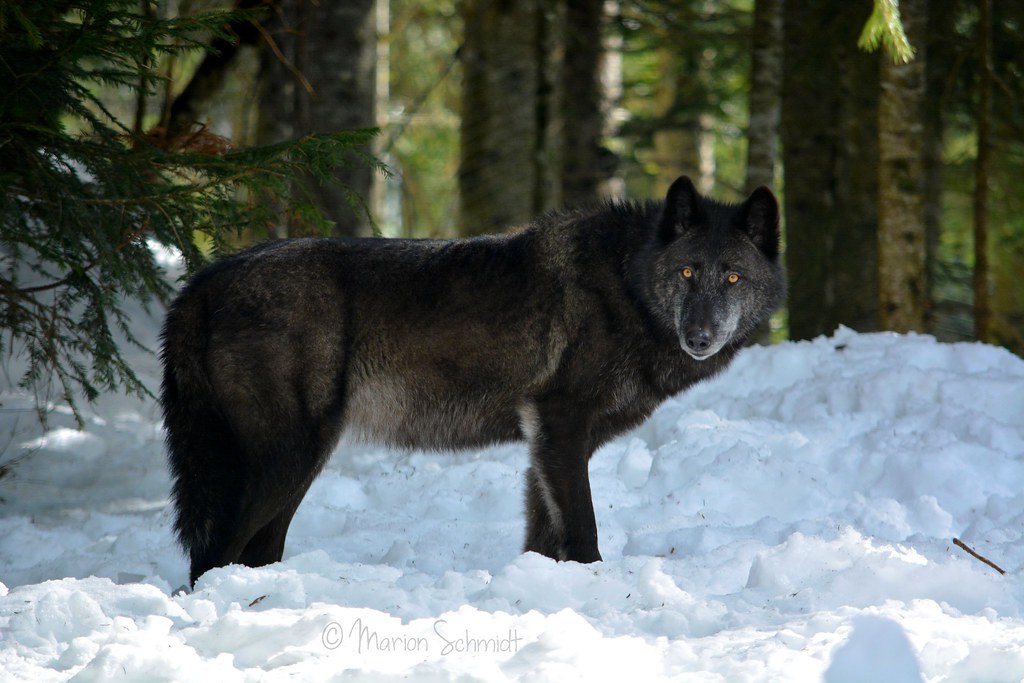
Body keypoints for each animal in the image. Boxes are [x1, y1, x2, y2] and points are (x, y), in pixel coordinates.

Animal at [160, 175, 785, 586]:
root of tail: (203, 282)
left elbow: (544, 534)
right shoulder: (560, 424)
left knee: (252, 548)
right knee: (214, 551)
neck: (627, 287)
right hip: (291, 456)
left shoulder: (548, 444)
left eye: (733, 277)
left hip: (299, 464)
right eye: (687, 272)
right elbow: (582, 530)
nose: (700, 336)